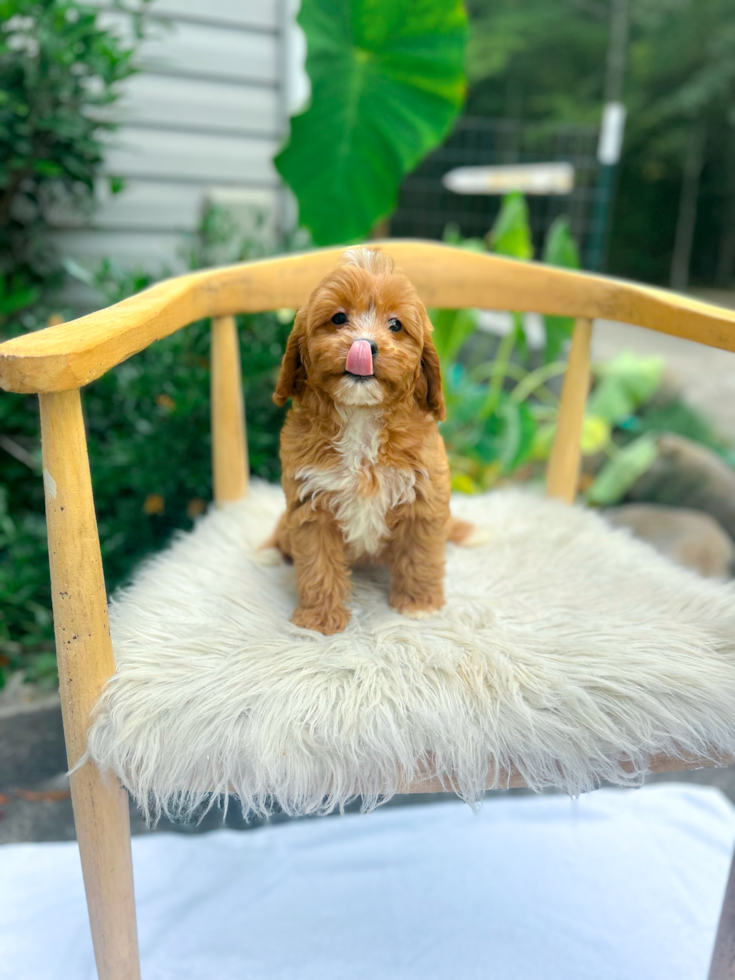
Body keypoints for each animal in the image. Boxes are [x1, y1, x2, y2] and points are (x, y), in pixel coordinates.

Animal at [264, 241, 478, 632]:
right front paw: (319, 619)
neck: (361, 417)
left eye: (395, 325)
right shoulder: (309, 501)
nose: (365, 345)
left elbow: (420, 554)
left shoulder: (424, 495)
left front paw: (419, 604)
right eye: (338, 318)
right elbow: (317, 564)